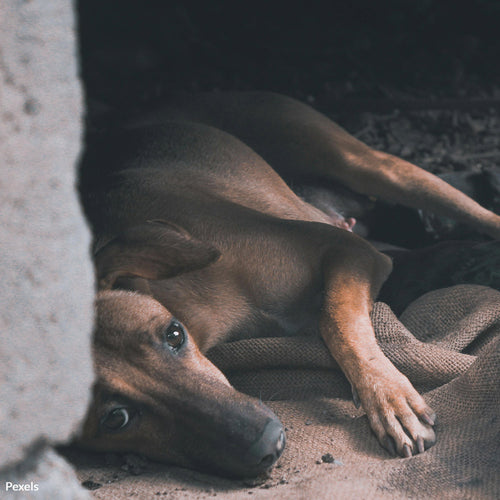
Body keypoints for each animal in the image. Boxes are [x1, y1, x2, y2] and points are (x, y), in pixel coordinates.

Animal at [77, 92, 500, 478]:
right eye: (116, 419)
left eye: (174, 335)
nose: (268, 443)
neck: (198, 306)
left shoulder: (349, 250)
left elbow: (336, 320)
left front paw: (389, 396)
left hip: (366, 165)